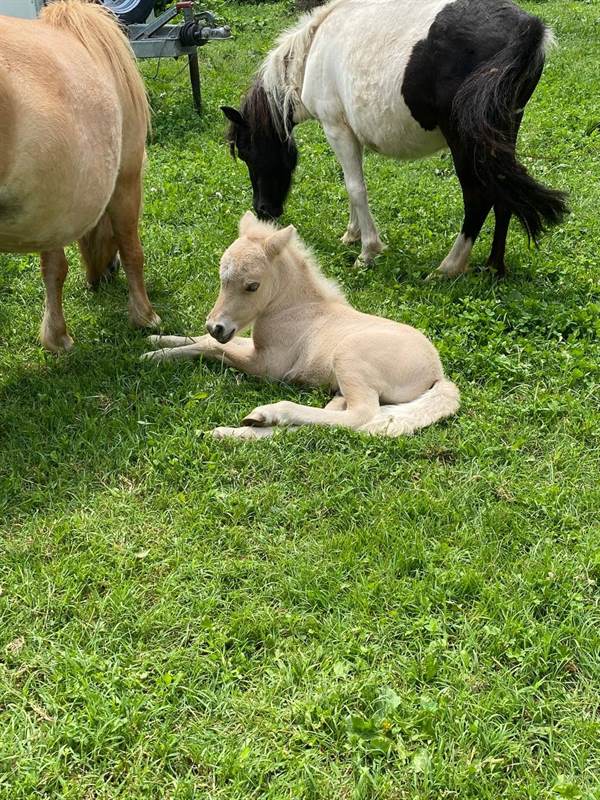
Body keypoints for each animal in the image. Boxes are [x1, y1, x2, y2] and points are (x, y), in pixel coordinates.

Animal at [0, 0, 159, 352]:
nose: (102, 278)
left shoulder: (51, 209)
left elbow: (54, 269)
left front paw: (57, 337)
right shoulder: (125, 181)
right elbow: (133, 250)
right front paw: (145, 316)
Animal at [143, 211, 460, 439]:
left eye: (252, 286)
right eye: (222, 278)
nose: (216, 326)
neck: (293, 307)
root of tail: (437, 373)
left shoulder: (267, 365)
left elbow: (212, 347)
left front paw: (153, 356)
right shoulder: (254, 346)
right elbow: (200, 341)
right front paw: (156, 344)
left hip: (349, 358)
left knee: (359, 416)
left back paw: (268, 414)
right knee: (334, 419)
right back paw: (240, 428)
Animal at [222, 0, 568, 277]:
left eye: (247, 151)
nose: (263, 210)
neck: (313, 51)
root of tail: (525, 28)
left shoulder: (337, 129)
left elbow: (355, 188)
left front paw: (367, 252)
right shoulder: (350, 134)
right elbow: (351, 187)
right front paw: (351, 235)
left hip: (465, 144)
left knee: (478, 197)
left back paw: (449, 267)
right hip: (498, 137)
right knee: (503, 194)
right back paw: (494, 267)